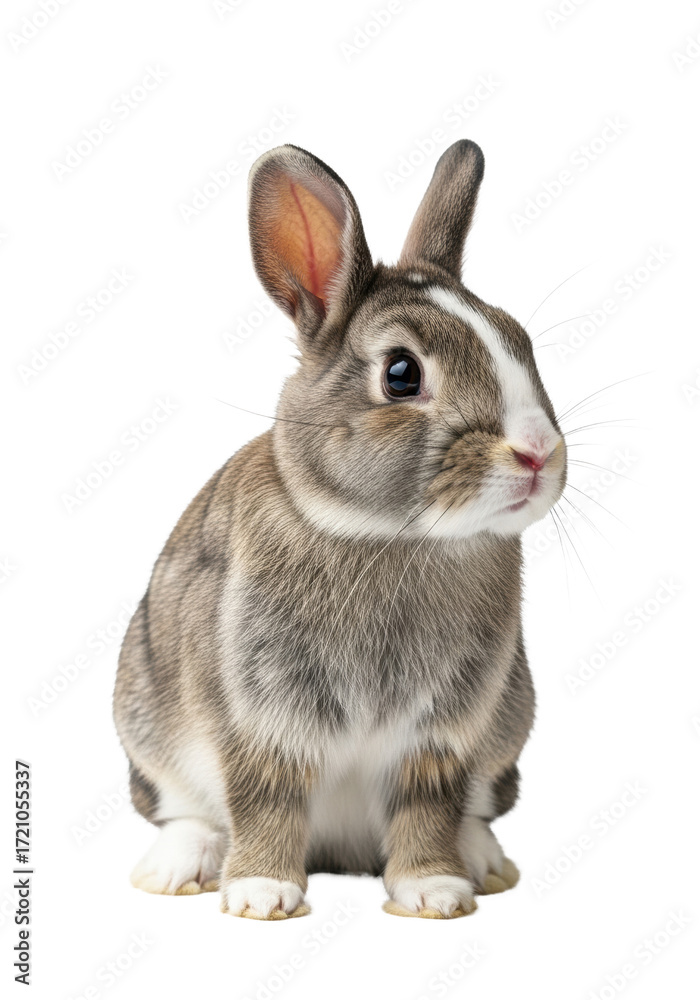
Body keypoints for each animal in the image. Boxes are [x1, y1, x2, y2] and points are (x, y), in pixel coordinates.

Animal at [113, 139, 566, 920]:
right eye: (401, 374)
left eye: (521, 341)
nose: (539, 455)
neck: (390, 536)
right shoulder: (262, 716)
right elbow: (263, 796)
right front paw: (261, 896)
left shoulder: (443, 732)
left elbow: (428, 804)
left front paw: (434, 893)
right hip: (148, 721)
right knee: (185, 808)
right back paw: (179, 868)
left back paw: (483, 861)